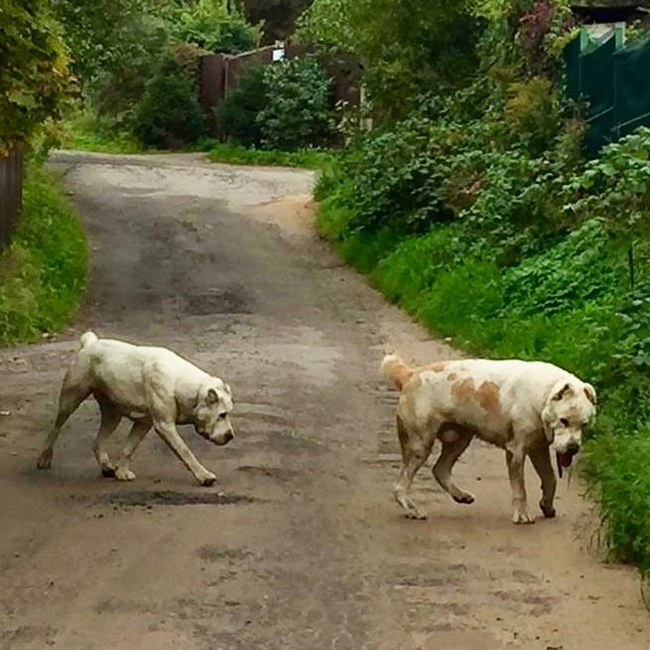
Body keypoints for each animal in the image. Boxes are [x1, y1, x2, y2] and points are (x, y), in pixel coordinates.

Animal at [36, 332, 234, 484]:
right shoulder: (164, 426)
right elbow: (185, 452)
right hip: (70, 399)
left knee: (97, 442)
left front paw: (121, 472)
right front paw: (204, 476)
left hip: (112, 414)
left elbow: (128, 448)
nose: (231, 436)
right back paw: (44, 458)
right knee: (55, 428)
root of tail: (91, 342)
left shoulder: (143, 423)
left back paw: (106, 467)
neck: (181, 384)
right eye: (222, 415)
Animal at [380, 352, 596, 524]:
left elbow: (550, 479)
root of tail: (410, 374)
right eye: (564, 420)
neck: (541, 396)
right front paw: (522, 515)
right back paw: (412, 510)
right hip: (420, 445)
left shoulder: (538, 448)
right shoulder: (516, 451)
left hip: (460, 439)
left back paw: (461, 496)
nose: (573, 448)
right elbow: (520, 488)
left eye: (584, 424)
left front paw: (547, 507)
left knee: (439, 469)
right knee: (400, 486)